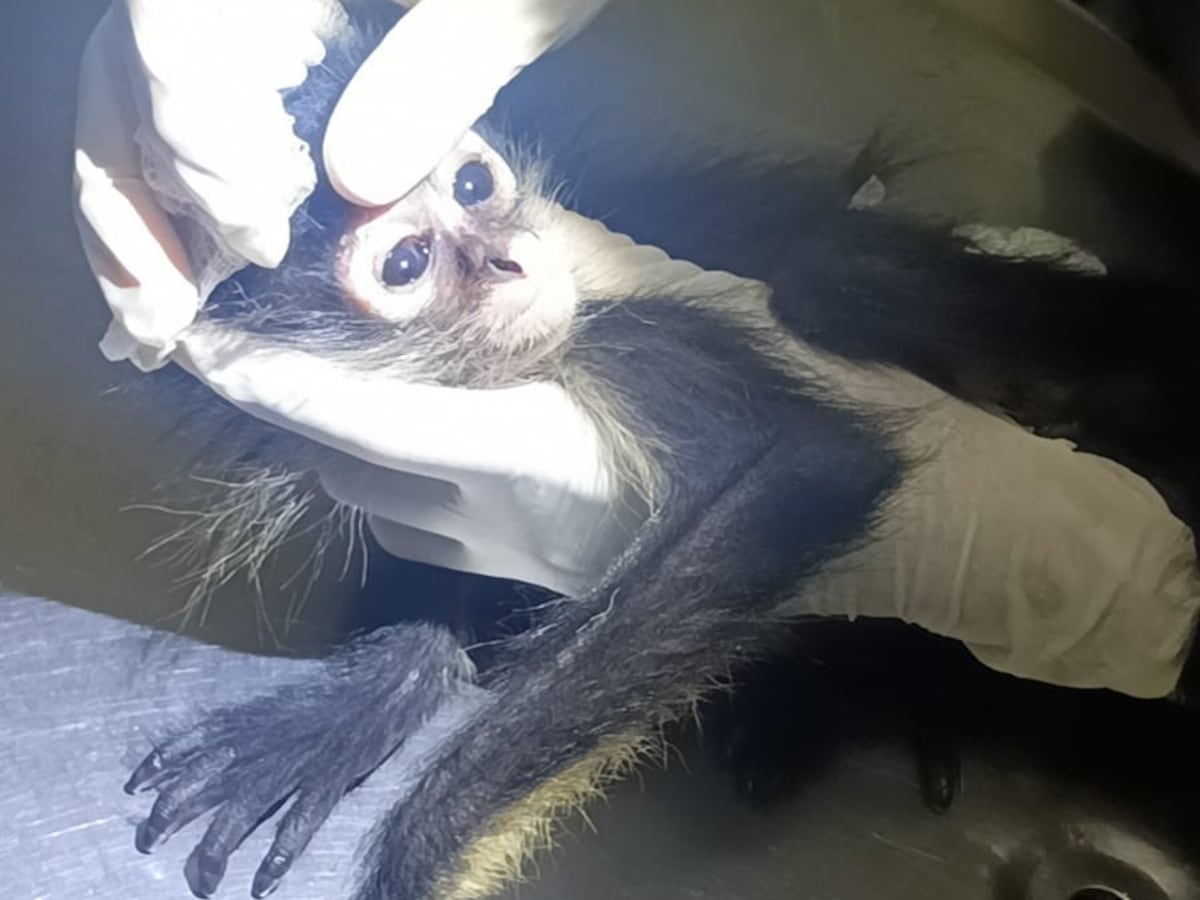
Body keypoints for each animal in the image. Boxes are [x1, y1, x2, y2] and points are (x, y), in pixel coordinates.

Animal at [114, 4, 1200, 900]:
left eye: (470, 183)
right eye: (409, 262)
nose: (514, 260)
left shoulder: (619, 328)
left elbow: (806, 470)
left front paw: (424, 850)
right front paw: (371, 696)